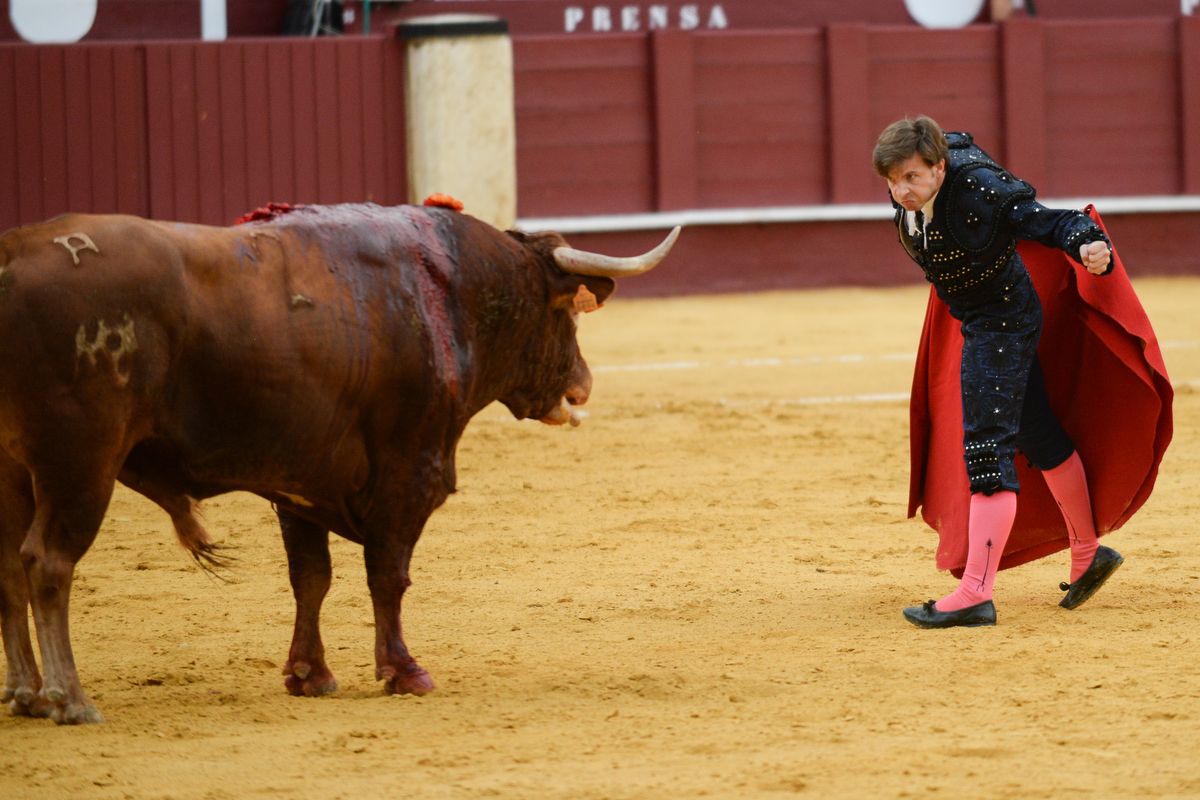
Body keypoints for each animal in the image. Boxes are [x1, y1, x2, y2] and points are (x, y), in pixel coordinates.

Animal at [0, 201, 681, 724]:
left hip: (15, 473)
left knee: (10, 565)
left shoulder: (299, 484)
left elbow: (312, 578)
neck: (447, 294)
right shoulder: (410, 472)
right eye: (563, 311)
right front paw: (404, 671)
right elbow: (388, 576)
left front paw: (309, 674)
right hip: (79, 464)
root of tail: (13, 256)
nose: (582, 387)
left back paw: (27, 693)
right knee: (49, 564)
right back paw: (70, 699)